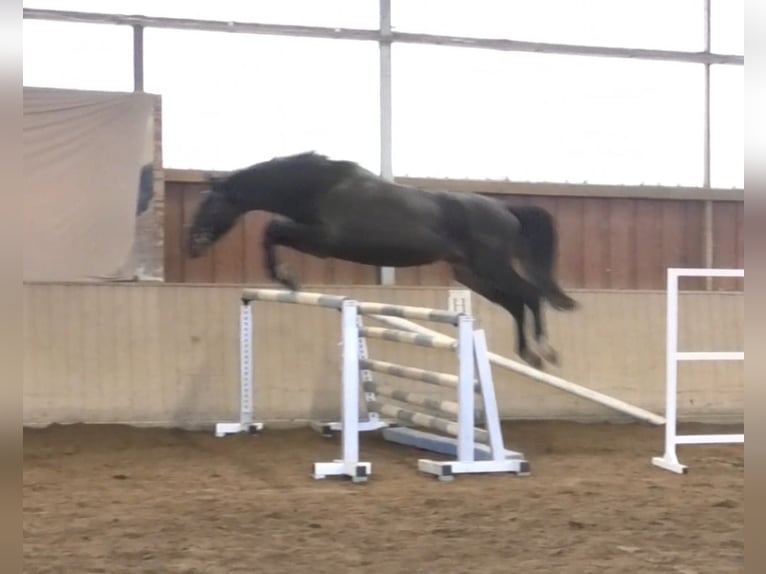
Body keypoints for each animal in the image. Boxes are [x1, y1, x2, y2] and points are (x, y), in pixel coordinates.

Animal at [188, 152, 584, 368]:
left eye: (209, 203)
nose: (193, 245)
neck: (320, 187)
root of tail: (505, 210)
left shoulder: (323, 241)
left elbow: (271, 230)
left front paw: (286, 279)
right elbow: (272, 232)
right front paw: (285, 279)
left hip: (492, 267)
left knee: (530, 295)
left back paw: (545, 352)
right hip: (472, 275)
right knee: (516, 302)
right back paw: (530, 354)